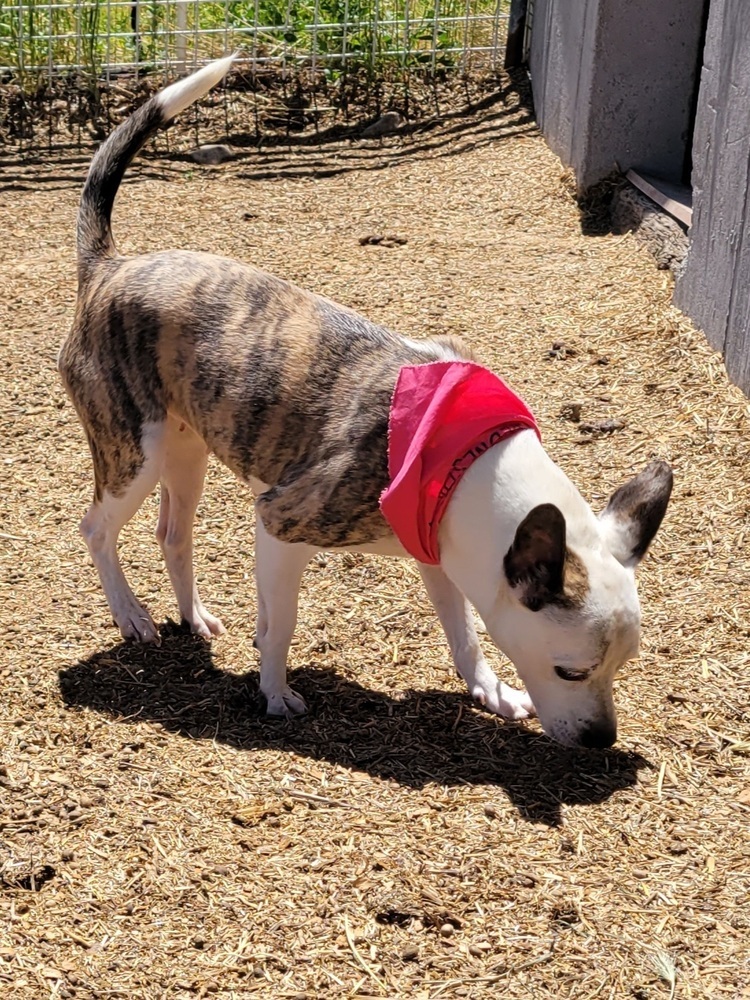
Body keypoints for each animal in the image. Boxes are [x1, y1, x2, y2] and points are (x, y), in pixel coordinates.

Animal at [55, 54, 672, 744]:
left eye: (624, 663)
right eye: (571, 670)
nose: (602, 739)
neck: (466, 455)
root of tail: (108, 266)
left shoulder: (438, 554)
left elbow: (464, 635)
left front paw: (492, 693)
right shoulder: (281, 524)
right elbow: (279, 627)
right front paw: (275, 693)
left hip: (185, 453)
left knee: (172, 535)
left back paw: (193, 616)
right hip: (133, 452)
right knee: (96, 529)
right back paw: (131, 613)